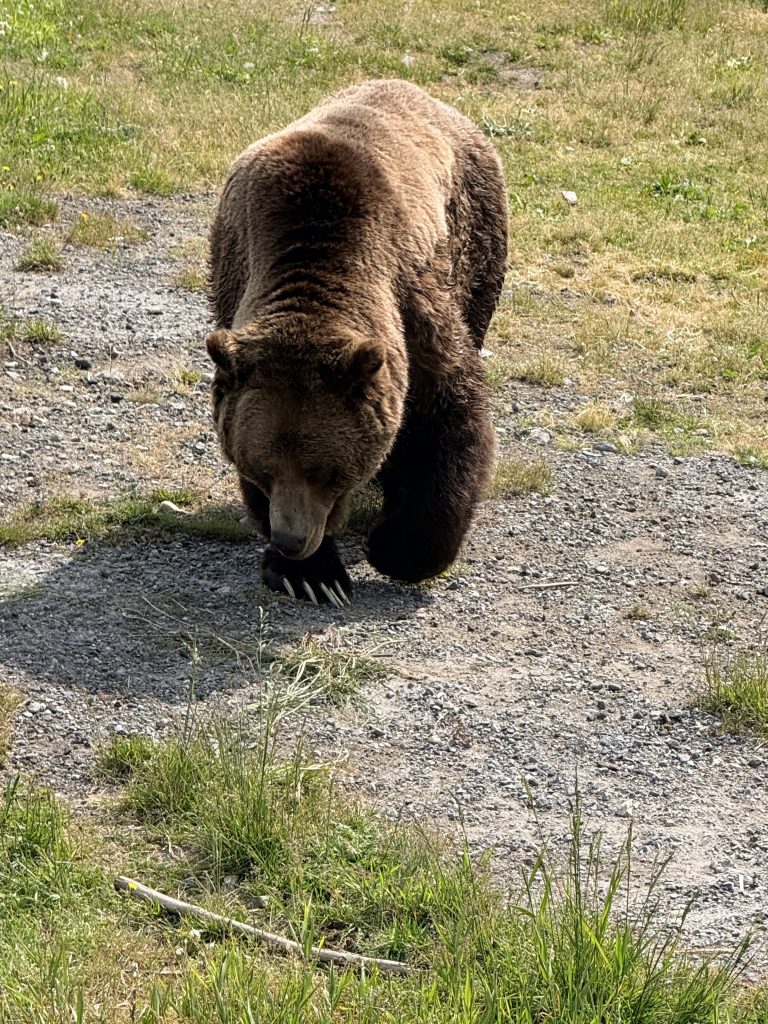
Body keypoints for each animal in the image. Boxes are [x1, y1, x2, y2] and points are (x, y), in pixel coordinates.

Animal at [205, 78, 508, 605]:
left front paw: (397, 546)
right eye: (261, 468)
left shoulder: (411, 305)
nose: (291, 538)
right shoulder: (235, 278)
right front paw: (312, 576)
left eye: (326, 470)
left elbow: (446, 416)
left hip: (477, 240)